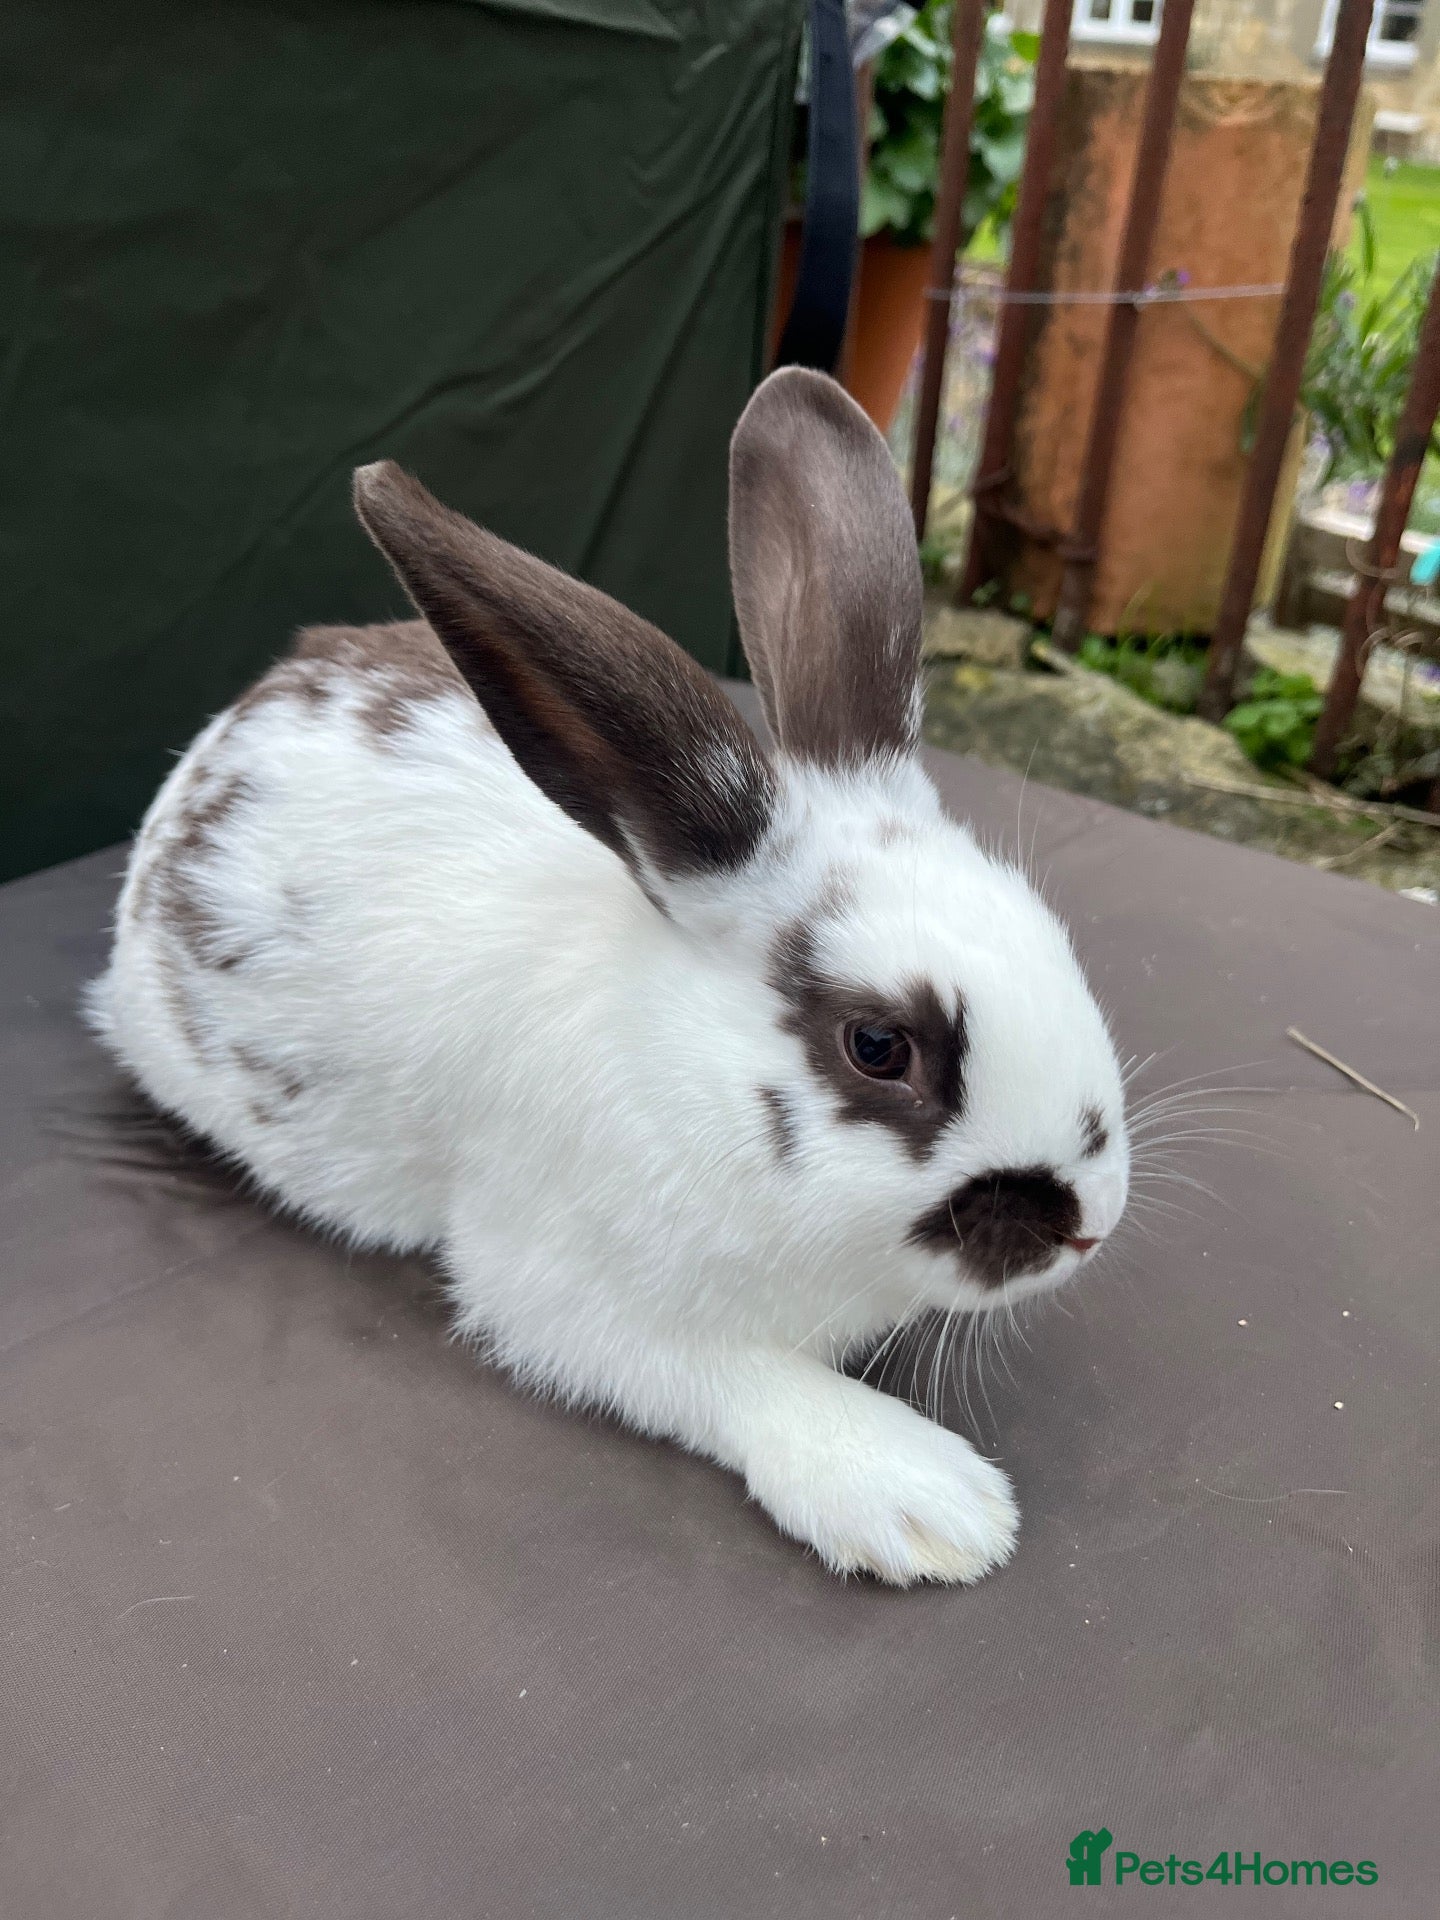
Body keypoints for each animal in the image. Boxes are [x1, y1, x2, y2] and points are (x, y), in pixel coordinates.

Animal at [88, 368, 1129, 1586]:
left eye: (1048, 931)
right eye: (879, 1047)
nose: (1090, 1222)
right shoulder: (565, 1297)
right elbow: (734, 1377)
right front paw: (933, 1508)